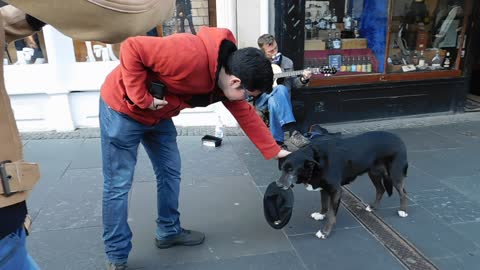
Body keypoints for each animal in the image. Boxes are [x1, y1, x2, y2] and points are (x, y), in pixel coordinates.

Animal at [278, 131, 408, 238]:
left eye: (291, 170)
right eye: (282, 169)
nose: (278, 185)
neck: (317, 162)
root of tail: (399, 139)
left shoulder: (336, 191)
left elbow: (331, 214)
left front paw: (325, 232)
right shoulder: (324, 188)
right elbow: (324, 204)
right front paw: (321, 214)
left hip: (395, 175)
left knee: (403, 192)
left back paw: (402, 211)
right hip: (374, 173)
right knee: (381, 189)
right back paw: (373, 207)